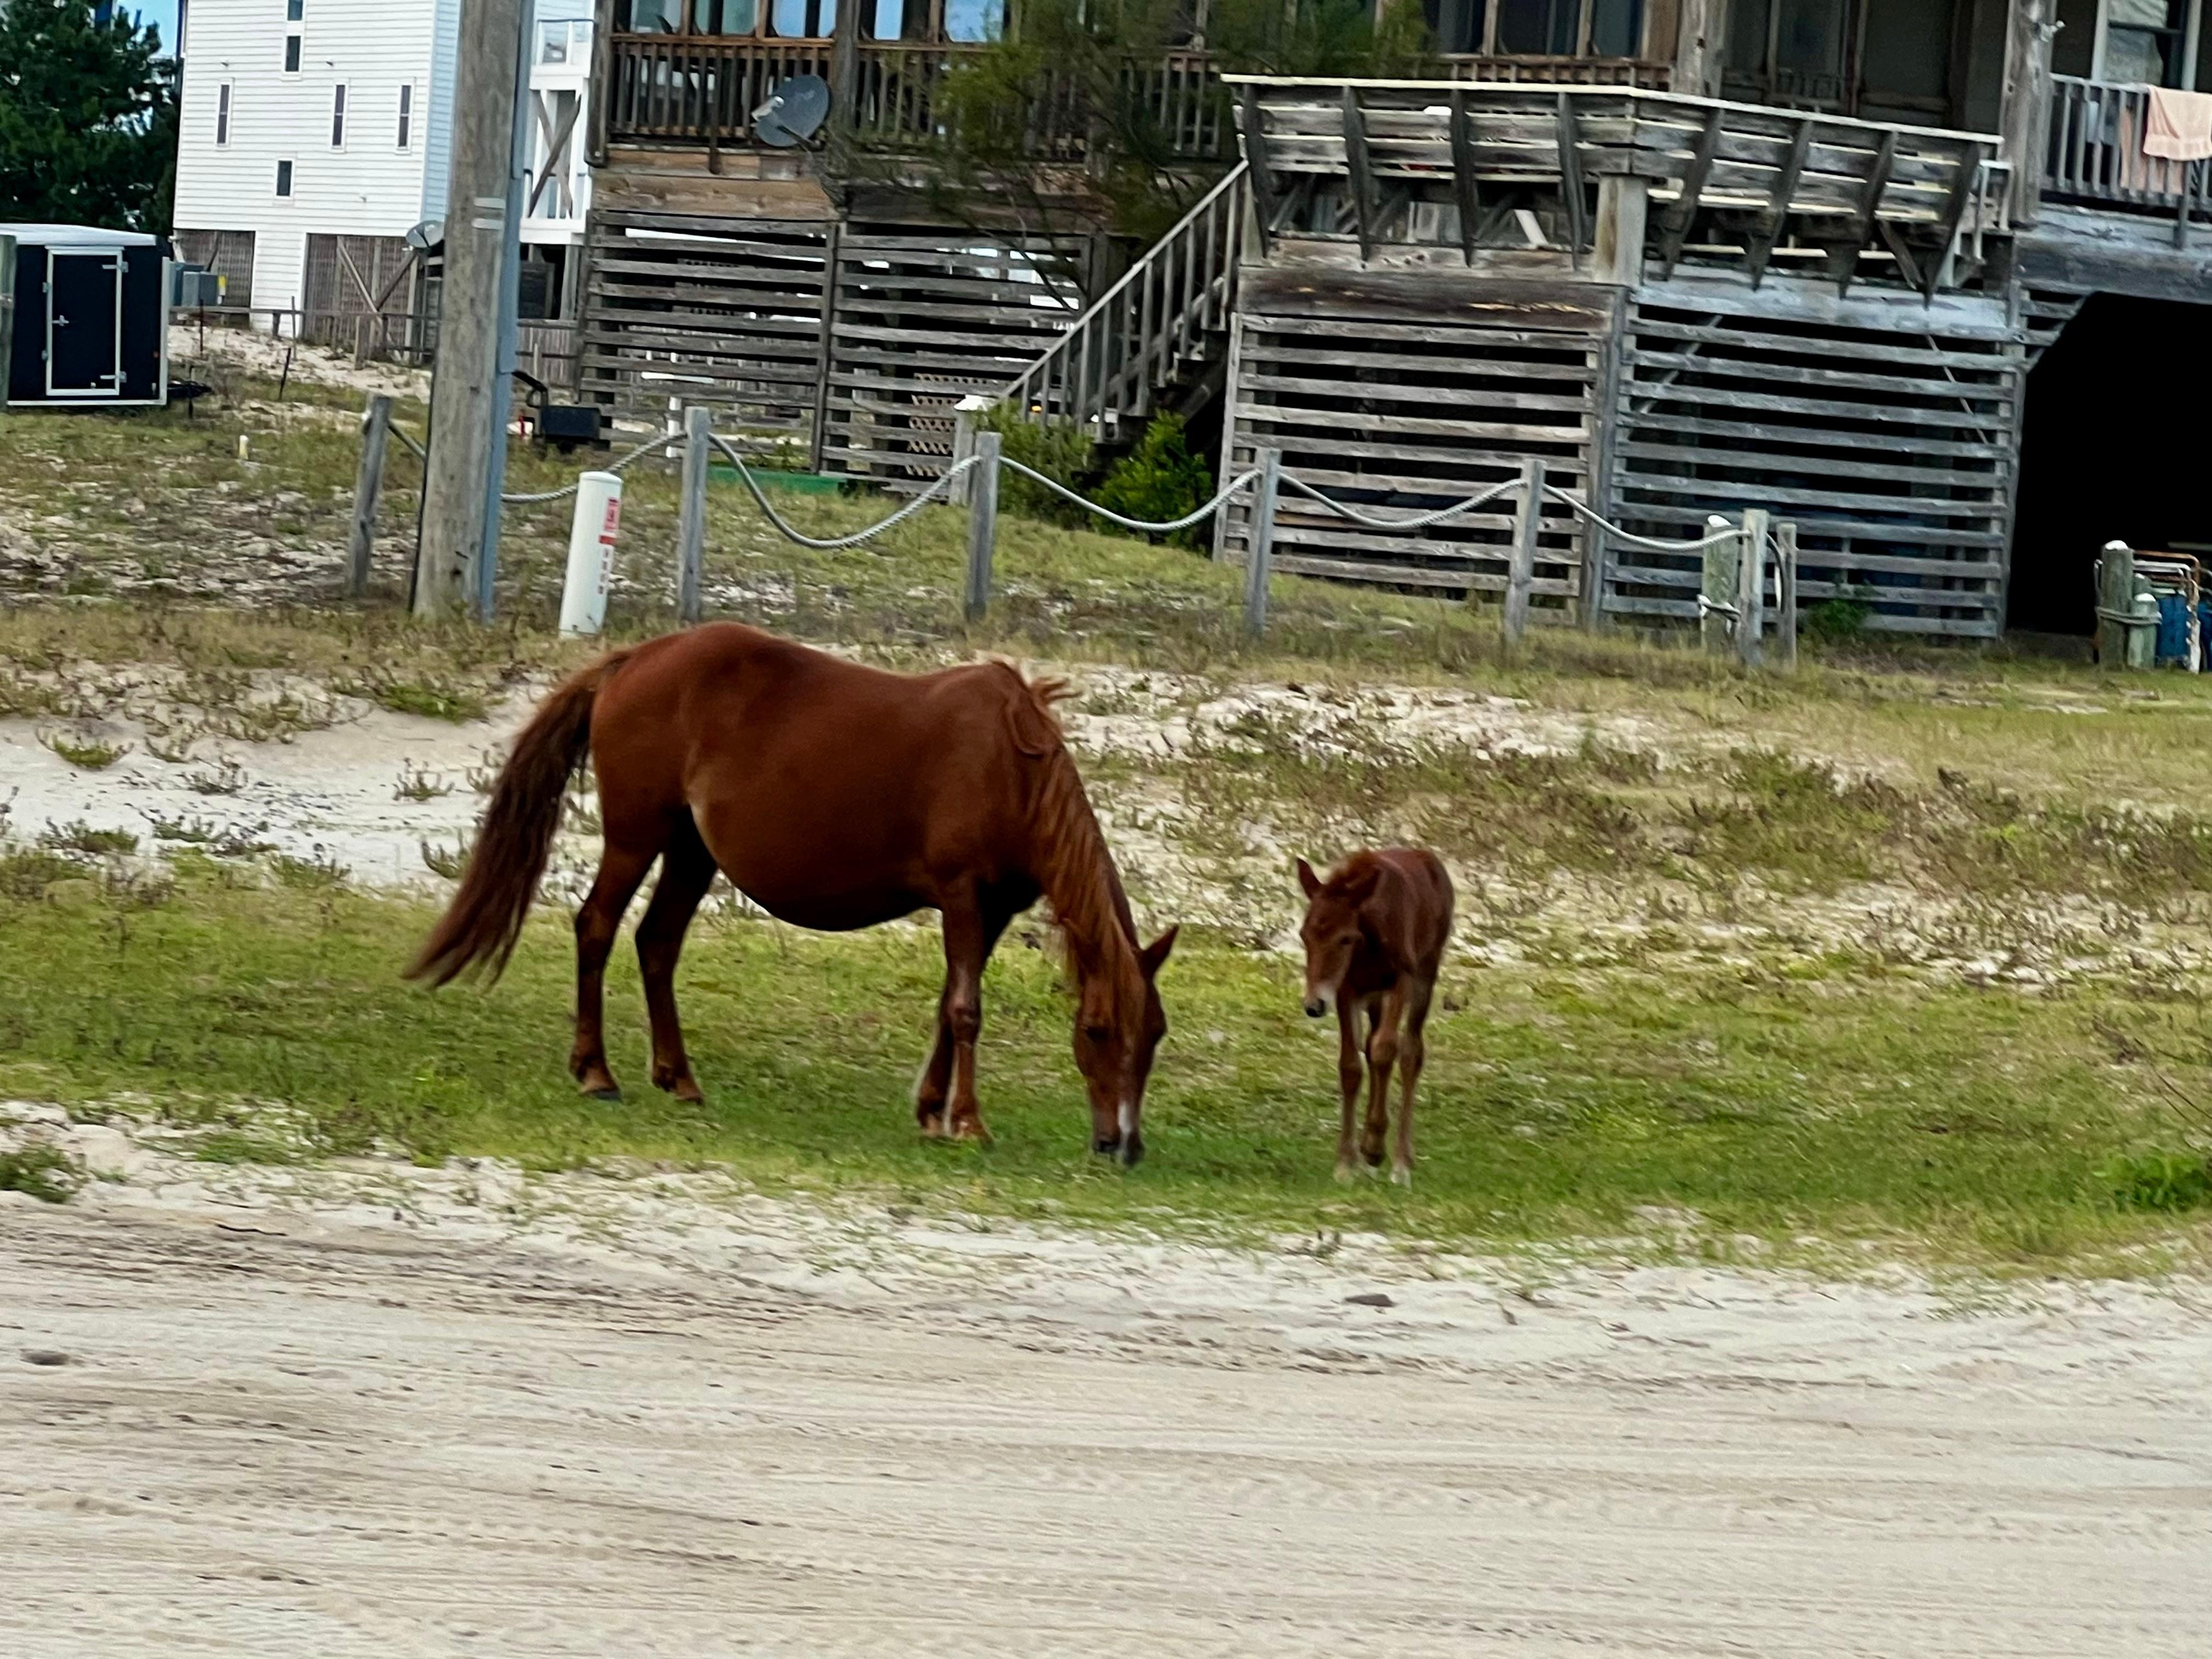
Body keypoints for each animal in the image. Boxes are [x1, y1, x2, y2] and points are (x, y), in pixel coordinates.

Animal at [406, 624, 1177, 1165]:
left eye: (1156, 1035)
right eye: (1096, 1030)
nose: (1123, 1145)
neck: (1012, 766)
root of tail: (637, 659)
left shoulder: (991, 914)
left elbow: (944, 1007)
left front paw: (931, 1111)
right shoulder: (962, 898)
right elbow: (965, 1011)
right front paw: (967, 1122)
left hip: (691, 851)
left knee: (657, 943)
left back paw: (678, 1078)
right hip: (636, 836)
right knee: (596, 927)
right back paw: (596, 1073)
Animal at [1295, 849, 1453, 1185]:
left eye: (1345, 938)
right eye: (1304, 935)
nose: (1314, 1005)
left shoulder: (1402, 979)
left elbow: (1386, 1050)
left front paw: (1375, 1148)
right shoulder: (1347, 988)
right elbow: (1351, 1065)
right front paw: (1347, 1161)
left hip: (1425, 973)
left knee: (1410, 1052)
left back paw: (1401, 1161)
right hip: (1374, 996)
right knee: (1371, 1047)